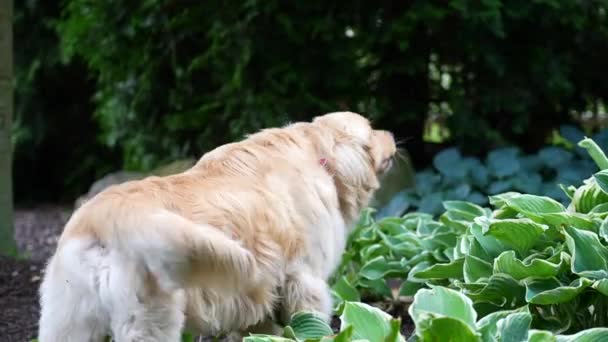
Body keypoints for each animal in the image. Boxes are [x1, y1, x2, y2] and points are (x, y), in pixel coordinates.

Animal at [39, 111, 400, 340]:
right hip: (150, 320)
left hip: (67, 322)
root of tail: (106, 214)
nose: (392, 133)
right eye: (372, 128)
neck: (319, 156)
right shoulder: (304, 278)